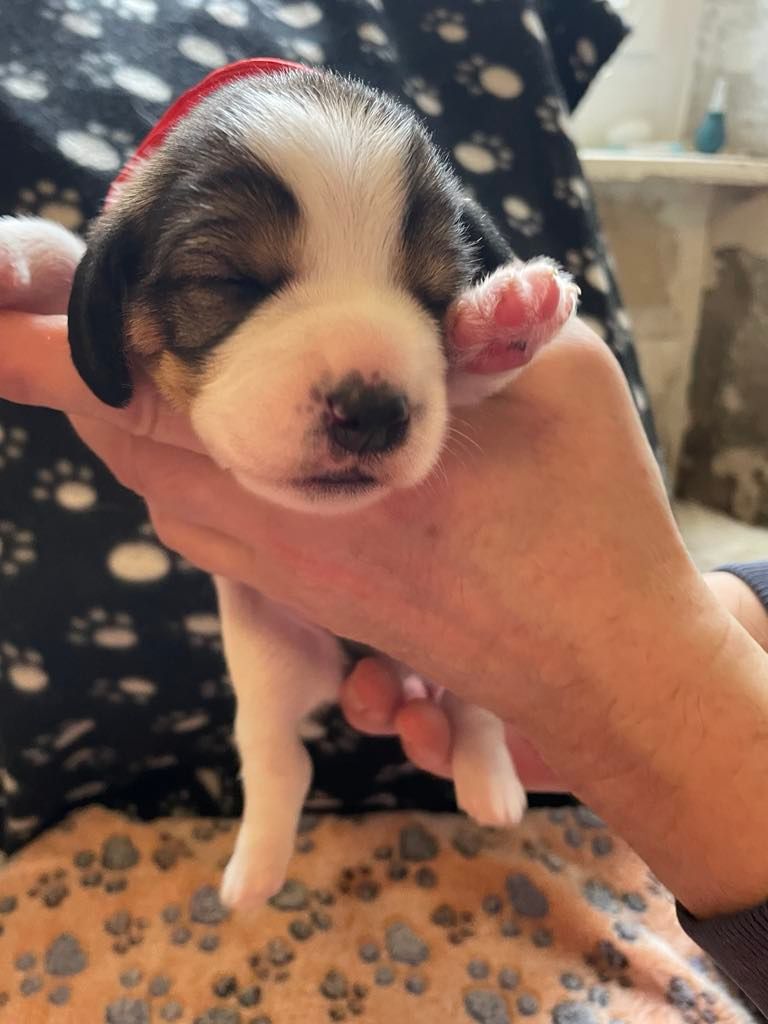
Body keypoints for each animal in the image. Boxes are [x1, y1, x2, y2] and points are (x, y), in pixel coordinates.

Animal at [0, 60, 578, 911]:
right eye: (231, 281)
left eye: (434, 292)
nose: (373, 411)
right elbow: (70, 247)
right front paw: (17, 251)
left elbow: (466, 379)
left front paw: (506, 318)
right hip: (268, 655)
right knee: (280, 759)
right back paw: (257, 869)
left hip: (466, 656)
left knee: (474, 711)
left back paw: (489, 783)